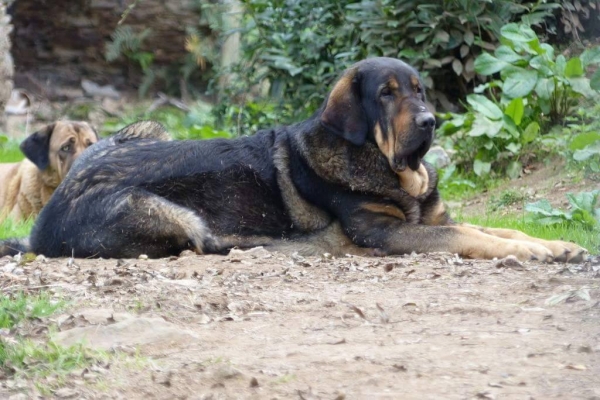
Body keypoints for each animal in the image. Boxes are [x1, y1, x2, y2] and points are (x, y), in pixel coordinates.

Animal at [0, 57, 588, 262]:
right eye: (387, 94)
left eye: (419, 91)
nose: (430, 122)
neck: (384, 166)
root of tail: (41, 224)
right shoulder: (392, 233)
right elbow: (471, 237)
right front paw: (538, 252)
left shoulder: (432, 217)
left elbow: (497, 230)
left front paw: (555, 245)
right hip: (171, 213)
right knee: (201, 244)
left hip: (145, 129)